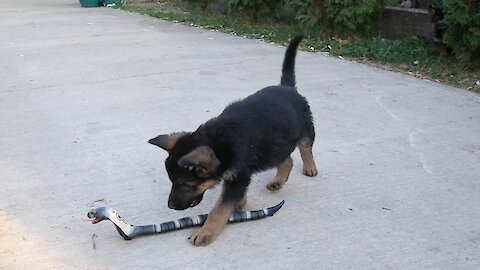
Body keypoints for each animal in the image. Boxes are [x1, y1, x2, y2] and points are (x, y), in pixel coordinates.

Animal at [148, 34, 316, 246]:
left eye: (185, 185)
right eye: (173, 182)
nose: (171, 206)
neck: (217, 141)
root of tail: (287, 87)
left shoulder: (238, 175)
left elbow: (219, 209)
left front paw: (206, 231)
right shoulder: (240, 174)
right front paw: (239, 204)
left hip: (305, 129)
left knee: (305, 148)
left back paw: (310, 167)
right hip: (274, 145)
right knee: (287, 159)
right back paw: (278, 181)